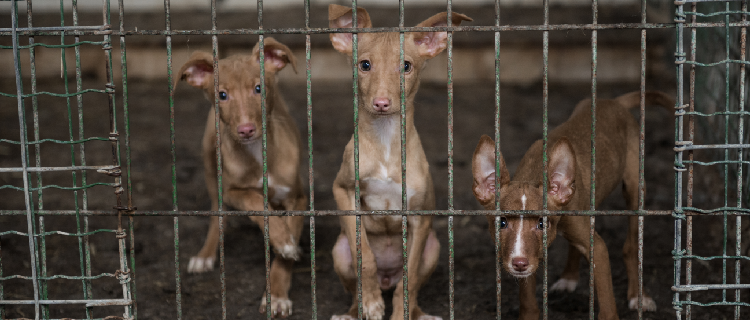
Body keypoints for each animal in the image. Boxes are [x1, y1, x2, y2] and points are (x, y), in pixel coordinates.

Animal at [178, 37, 306, 318]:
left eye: (258, 88)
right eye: (222, 95)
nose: (245, 130)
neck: (258, 154)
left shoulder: (298, 199)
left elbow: (284, 254)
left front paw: (277, 294)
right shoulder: (232, 191)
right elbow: (255, 202)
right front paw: (281, 239)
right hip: (210, 167)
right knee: (217, 215)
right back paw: (205, 255)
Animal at [328, 4, 470, 320]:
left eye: (406, 66)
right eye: (364, 65)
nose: (381, 103)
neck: (385, 143)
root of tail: (386, 277)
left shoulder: (418, 218)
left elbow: (409, 280)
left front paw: (399, 312)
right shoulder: (343, 192)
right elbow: (365, 258)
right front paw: (371, 303)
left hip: (433, 248)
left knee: (411, 286)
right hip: (339, 250)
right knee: (355, 280)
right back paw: (353, 310)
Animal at [470, 90, 676, 320]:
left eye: (542, 224)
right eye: (502, 223)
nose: (519, 263)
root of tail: (613, 102)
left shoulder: (599, 251)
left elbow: (607, 303)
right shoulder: (531, 256)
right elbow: (528, 301)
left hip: (635, 188)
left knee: (631, 247)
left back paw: (638, 296)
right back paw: (569, 277)